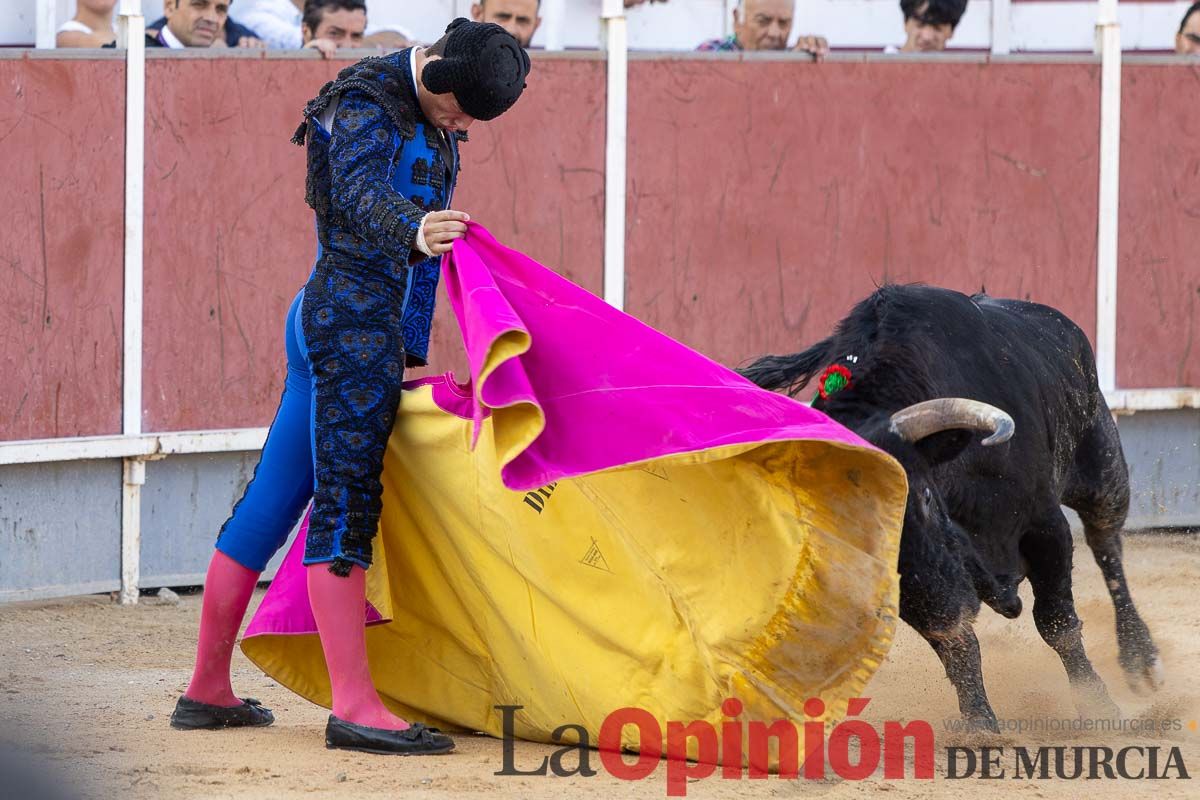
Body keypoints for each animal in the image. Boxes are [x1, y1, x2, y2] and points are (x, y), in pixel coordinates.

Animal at [739, 287, 1161, 734]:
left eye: (924, 496)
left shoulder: (1046, 528)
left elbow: (1057, 623)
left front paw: (1098, 706)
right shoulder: (913, 589)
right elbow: (955, 642)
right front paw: (980, 725)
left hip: (1102, 468)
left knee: (1106, 545)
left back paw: (1141, 660)